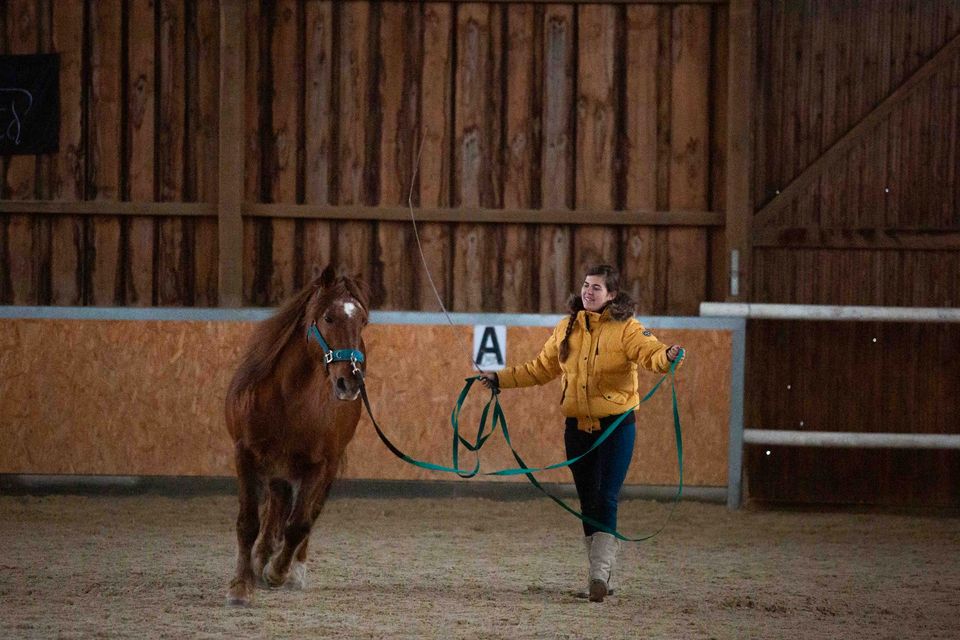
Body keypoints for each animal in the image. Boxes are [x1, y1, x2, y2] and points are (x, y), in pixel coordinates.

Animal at [225, 264, 372, 604]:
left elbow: (299, 524)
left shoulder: (318, 465)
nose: (351, 382)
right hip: (277, 468)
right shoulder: (245, 454)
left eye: (362, 320)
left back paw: (292, 569)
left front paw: (278, 572)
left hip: (322, 468)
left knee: (307, 514)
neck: (288, 398)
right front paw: (241, 584)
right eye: (329, 317)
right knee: (276, 507)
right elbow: (248, 522)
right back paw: (261, 557)